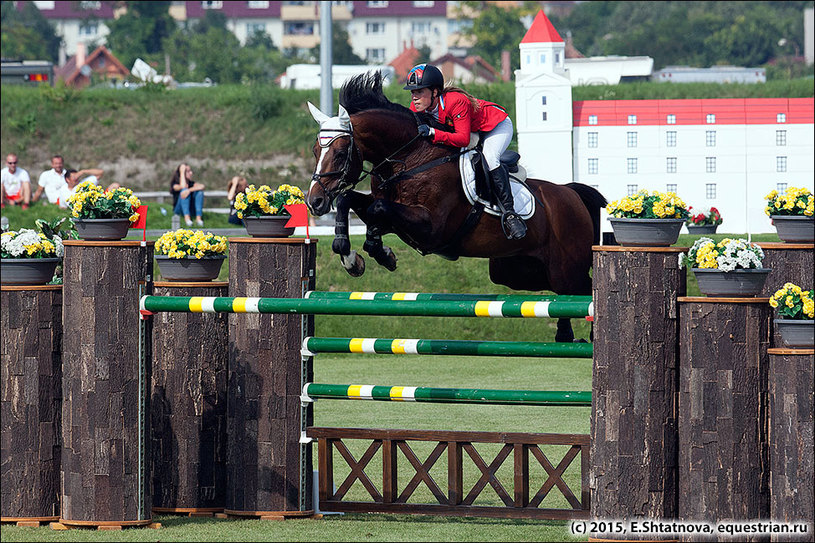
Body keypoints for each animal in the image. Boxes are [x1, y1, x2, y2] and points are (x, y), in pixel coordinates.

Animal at [306, 73, 604, 344]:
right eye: (314, 151)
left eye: (340, 154)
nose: (314, 201)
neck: (411, 158)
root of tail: (570, 192)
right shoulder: (397, 216)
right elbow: (352, 201)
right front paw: (353, 256)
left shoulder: (431, 227)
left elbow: (377, 208)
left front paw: (377, 250)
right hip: (514, 271)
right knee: (562, 294)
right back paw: (565, 335)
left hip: (565, 267)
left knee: (583, 289)